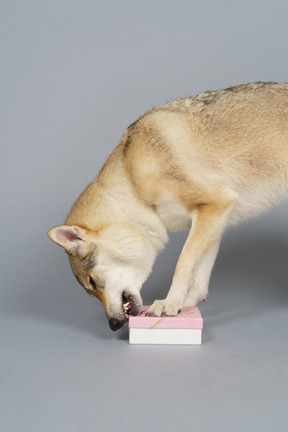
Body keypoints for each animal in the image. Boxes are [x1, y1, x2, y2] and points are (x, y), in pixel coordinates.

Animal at [47, 82, 288, 330]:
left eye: (93, 282)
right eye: (90, 292)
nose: (114, 325)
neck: (132, 182)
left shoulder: (214, 205)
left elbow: (183, 264)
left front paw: (169, 304)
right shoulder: (215, 221)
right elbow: (198, 278)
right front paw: (182, 307)